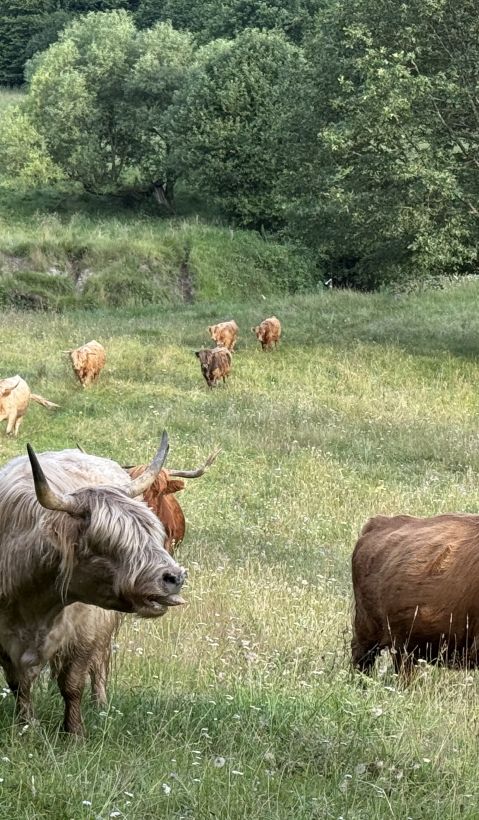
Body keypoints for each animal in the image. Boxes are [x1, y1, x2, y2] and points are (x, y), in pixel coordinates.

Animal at [0, 432, 186, 735]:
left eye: (153, 533)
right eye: (111, 542)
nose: (175, 577)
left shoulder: (86, 632)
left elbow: (73, 684)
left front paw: (74, 733)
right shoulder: (5, 642)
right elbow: (19, 685)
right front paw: (27, 726)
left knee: (100, 664)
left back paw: (100, 703)